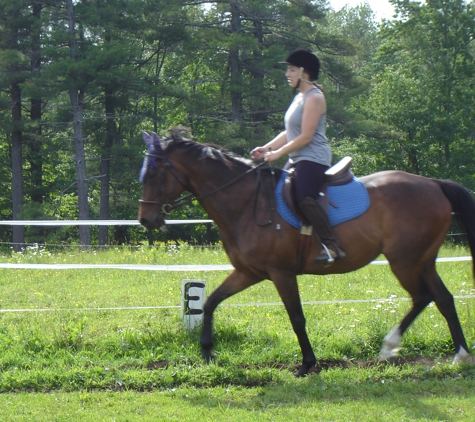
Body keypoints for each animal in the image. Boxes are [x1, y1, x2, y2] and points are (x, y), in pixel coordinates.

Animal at [138, 129, 475, 376]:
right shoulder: (248, 272)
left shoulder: (281, 273)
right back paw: (456, 355)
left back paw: (395, 347)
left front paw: (308, 364)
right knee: (441, 298)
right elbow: (210, 303)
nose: (145, 220)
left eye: (153, 173)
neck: (246, 202)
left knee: (424, 297)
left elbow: (297, 317)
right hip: (423, 260)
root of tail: (432, 183)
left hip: (406, 261)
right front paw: (208, 351)